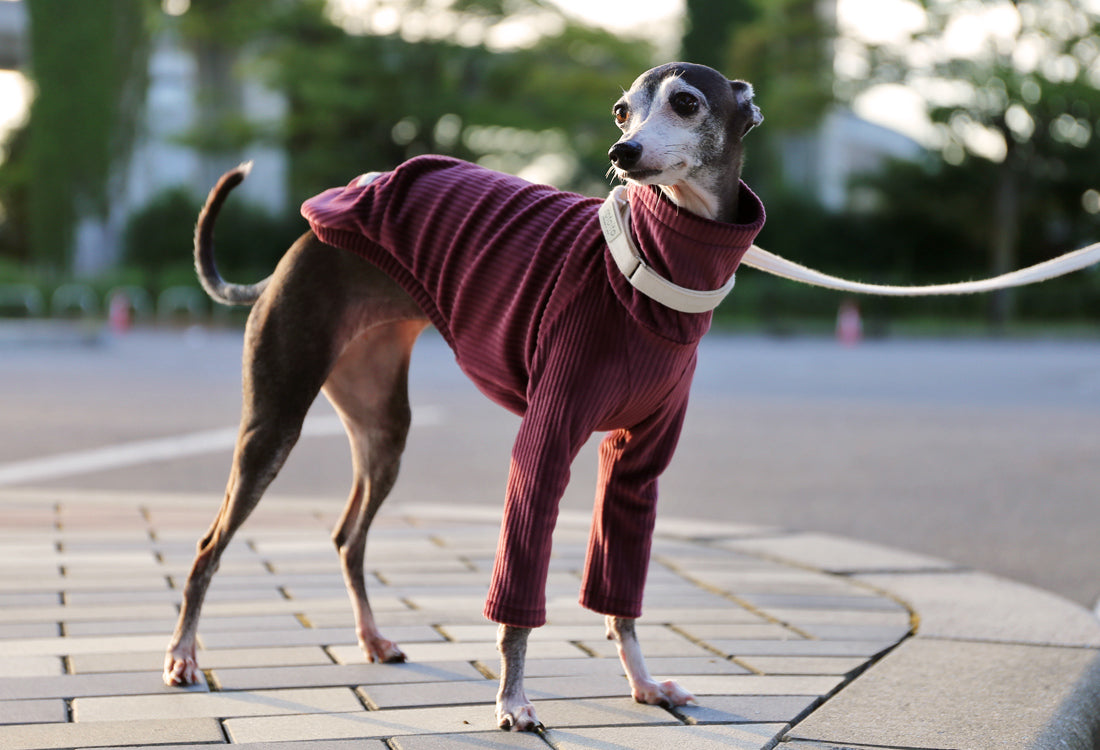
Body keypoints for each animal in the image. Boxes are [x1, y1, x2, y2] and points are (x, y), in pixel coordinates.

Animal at [162, 61, 765, 725]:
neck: (655, 269)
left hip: (383, 429)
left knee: (348, 537)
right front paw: (514, 701)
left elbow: (620, 594)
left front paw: (645, 683)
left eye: (685, 102)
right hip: (273, 424)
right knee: (209, 545)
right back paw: (183, 656)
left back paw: (372, 638)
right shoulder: (543, 445)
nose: (622, 153)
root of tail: (290, 255)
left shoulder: (636, 467)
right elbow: (517, 603)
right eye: (620, 111)